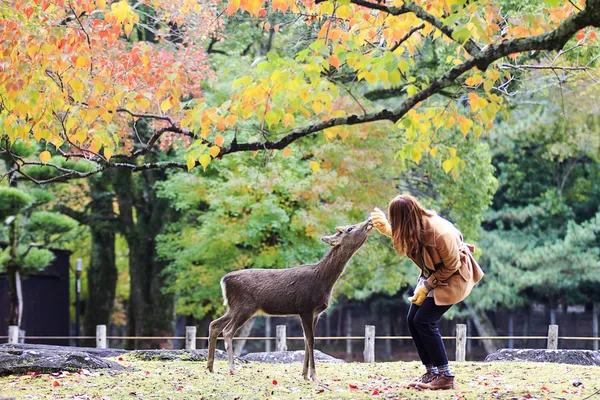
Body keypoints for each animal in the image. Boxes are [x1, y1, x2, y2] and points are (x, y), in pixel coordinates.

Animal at [209, 219, 372, 382]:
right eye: (350, 228)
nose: (369, 221)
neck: (323, 280)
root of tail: (224, 280)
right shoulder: (305, 307)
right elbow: (311, 340)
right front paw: (314, 376)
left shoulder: (316, 313)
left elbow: (306, 340)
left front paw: (304, 374)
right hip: (244, 306)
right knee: (227, 331)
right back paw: (232, 368)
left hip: (233, 307)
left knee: (215, 324)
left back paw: (210, 367)